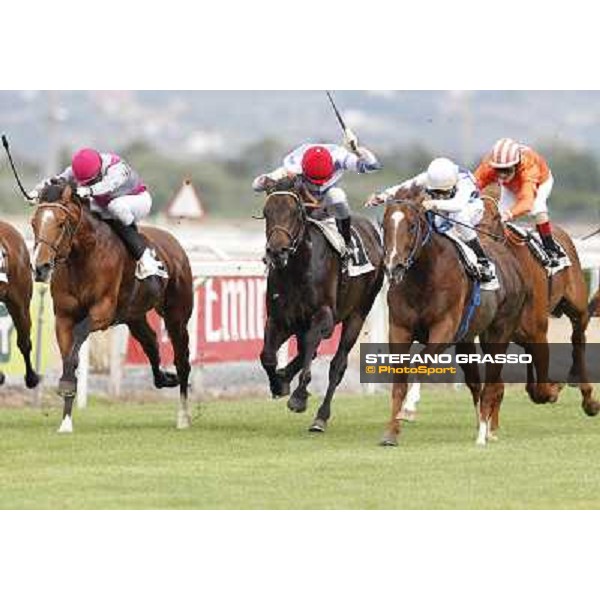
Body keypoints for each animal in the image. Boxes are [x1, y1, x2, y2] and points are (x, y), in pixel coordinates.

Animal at [31, 182, 193, 432]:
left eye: (60, 223)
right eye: (33, 223)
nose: (40, 268)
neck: (83, 256)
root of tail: (175, 245)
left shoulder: (103, 311)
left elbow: (78, 339)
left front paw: (66, 385)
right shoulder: (63, 318)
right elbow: (69, 356)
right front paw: (66, 421)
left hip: (177, 316)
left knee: (182, 360)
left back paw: (183, 417)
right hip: (134, 316)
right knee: (151, 342)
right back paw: (164, 378)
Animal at [258, 183, 382, 432]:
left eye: (294, 212)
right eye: (267, 213)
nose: (276, 251)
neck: (296, 270)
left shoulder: (324, 317)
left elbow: (312, 350)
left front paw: (298, 396)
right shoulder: (279, 318)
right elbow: (267, 356)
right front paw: (279, 383)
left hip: (358, 314)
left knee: (337, 366)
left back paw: (321, 417)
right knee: (309, 350)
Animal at [380, 186, 528, 446]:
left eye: (412, 226)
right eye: (384, 225)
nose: (393, 267)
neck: (423, 277)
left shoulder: (444, 329)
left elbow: (421, 363)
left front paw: (409, 409)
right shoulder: (399, 329)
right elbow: (399, 380)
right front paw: (391, 433)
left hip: (499, 333)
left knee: (491, 384)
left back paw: (483, 434)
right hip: (467, 340)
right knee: (476, 384)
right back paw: (482, 426)